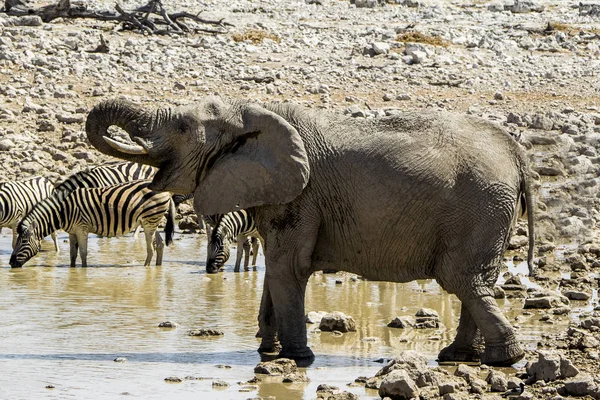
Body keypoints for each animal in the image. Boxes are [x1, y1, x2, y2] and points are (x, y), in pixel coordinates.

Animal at [9, 180, 175, 268]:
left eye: (24, 242)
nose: (11, 263)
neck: (62, 211)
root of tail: (166, 192)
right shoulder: (72, 232)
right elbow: (72, 254)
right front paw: (72, 270)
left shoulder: (82, 229)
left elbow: (83, 252)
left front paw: (83, 271)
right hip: (151, 221)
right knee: (159, 244)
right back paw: (158, 267)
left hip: (149, 221)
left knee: (151, 248)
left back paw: (146, 268)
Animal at [85, 96, 536, 366]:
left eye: (181, 127)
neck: (249, 113)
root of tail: (516, 154)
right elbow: (275, 269)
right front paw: (267, 354)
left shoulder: (301, 196)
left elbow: (289, 269)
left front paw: (298, 359)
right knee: (472, 282)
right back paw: (458, 357)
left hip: (479, 207)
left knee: (462, 279)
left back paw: (503, 359)